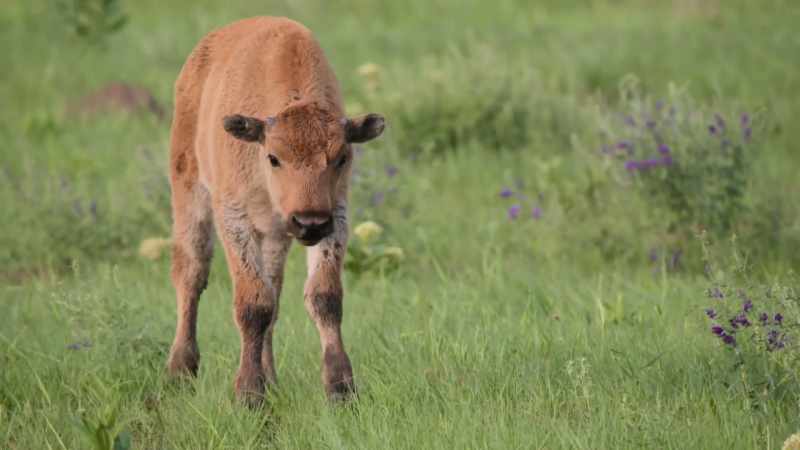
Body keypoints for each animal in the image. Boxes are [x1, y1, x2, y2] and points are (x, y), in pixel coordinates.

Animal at [165, 16, 385, 406]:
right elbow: (252, 304)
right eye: (273, 157)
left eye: (342, 157)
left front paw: (341, 389)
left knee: (274, 292)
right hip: (189, 190)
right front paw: (249, 395)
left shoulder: (334, 218)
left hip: (275, 235)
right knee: (191, 272)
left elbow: (323, 296)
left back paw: (271, 378)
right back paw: (181, 370)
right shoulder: (234, 218)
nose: (308, 221)